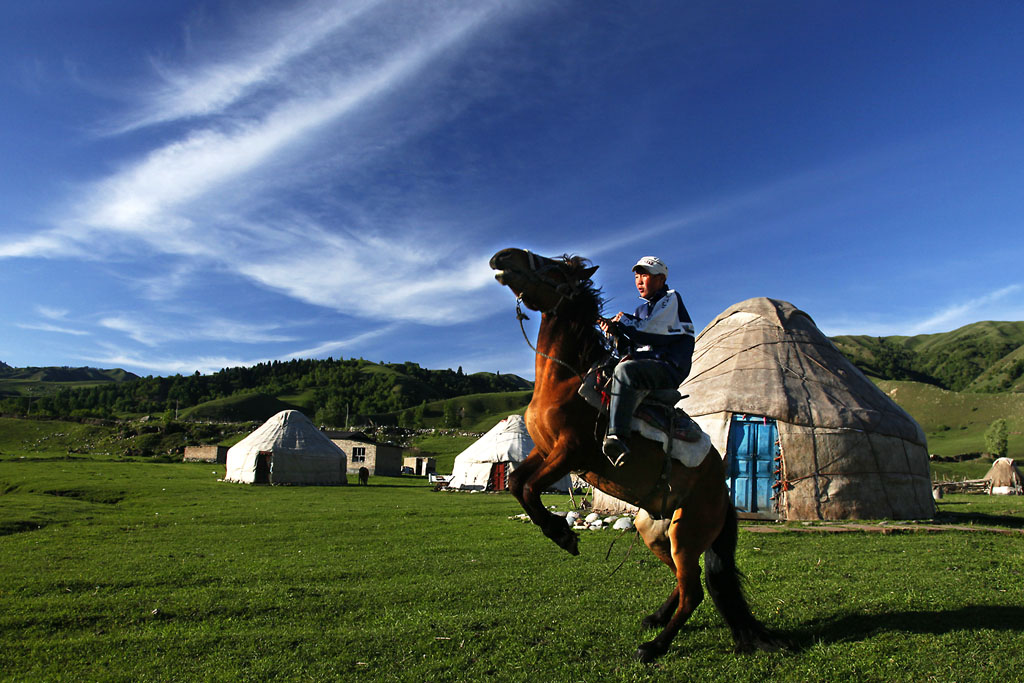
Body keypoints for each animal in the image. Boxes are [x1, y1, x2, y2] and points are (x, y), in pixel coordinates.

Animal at [487, 249, 774, 663]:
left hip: (686, 533)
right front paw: (558, 530)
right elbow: (515, 483)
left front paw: (563, 535)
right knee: (685, 582)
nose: (503, 256)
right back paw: (655, 619)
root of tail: (722, 494)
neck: (565, 379)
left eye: (555, 269)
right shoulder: (544, 450)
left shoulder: (570, 452)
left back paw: (654, 647)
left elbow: (528, 489)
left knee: (695, 591)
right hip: (655, 532)